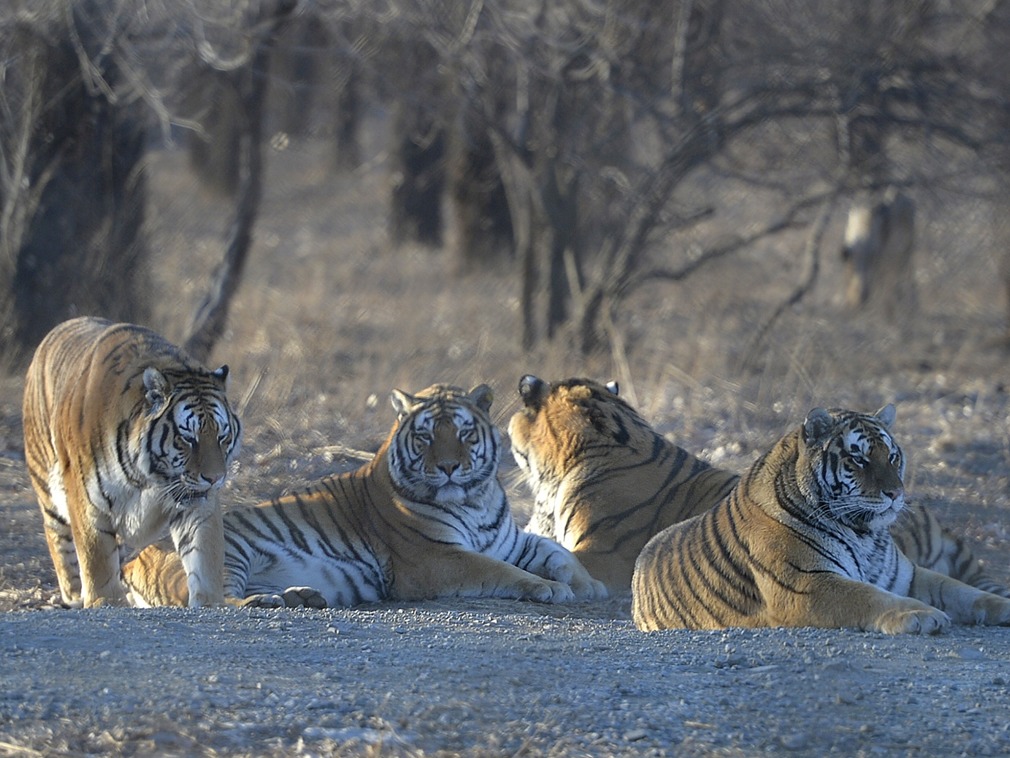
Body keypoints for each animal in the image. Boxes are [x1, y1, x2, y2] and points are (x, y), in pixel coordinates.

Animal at [21, 317, 242, 610]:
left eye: (222, 436)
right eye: (188, 438)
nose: (215, 478)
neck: (148, 476)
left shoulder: (195, 499)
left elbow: (204, 550)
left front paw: (210, 601)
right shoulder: (86, 498)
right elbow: (95, 554)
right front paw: (105, 601)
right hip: (48, 488)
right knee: (59, 541)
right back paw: (75, 595)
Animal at [121, 382, 601, 610]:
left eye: (464, 433)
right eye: (427, 436)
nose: (449, 467)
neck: (474, 498)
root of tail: (133, 556)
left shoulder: (510, 539)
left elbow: (557, 553)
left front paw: (590, 584)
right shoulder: (435, 557)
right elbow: (499, 570)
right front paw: (550, 589)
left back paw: (301, 597)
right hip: (226, 553)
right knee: (210, 599)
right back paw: (268, 602)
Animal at [630, 404, 1010, 634]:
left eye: (892, 456)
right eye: (858, 459)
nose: (895, 494)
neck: (865, 533)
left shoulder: (908, 576)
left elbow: (963, 590)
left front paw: (1003, 605)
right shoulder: (807, 584)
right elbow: (869, 597)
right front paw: (921, 615)